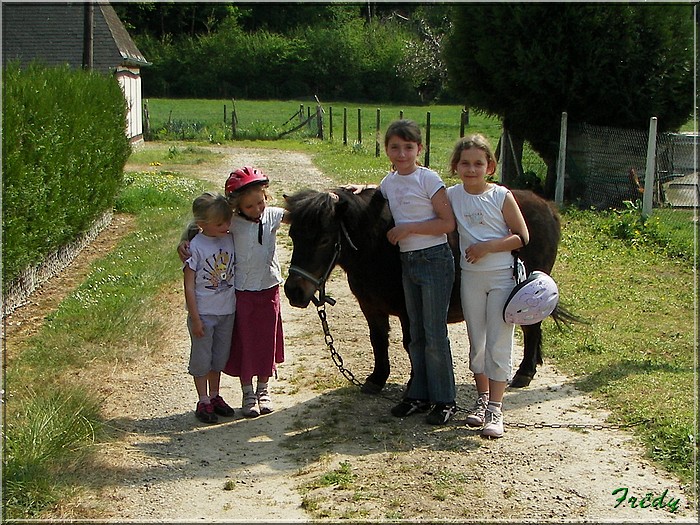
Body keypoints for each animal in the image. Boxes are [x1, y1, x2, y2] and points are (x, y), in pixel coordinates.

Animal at [284, 186, 576, 390]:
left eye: (324, 239)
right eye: (293, 236)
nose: (293, 292)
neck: (378, 246)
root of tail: (547, 206)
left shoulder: (408, 309)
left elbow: (411, 345)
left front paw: (414, 386)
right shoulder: (371, 307)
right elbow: (378, 340)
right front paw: (377, 379)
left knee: (532, 327)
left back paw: (524, 373)